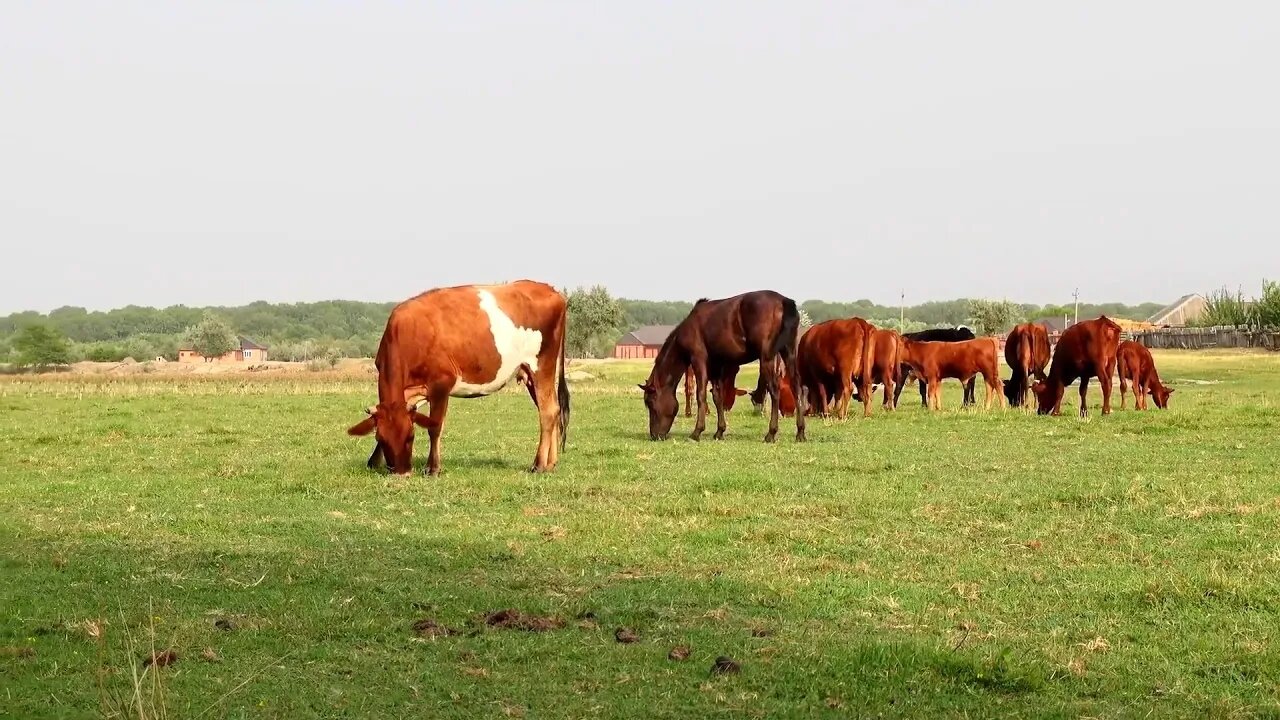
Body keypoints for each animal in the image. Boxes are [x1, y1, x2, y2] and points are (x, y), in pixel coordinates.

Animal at [350, 280, 570, 476]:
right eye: (381, 438)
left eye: (410, 437)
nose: (401, 473)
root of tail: (552, 290)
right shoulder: (412, 391)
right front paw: (373, 461)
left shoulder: (441, 383)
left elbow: (434, 426)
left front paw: (433, 468)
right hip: (530, 373)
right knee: (554, 409)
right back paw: (551, 464)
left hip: (541, 365)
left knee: (548, 412)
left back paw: (538, 465)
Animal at [637, 288, 803, 440]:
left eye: (650, 403)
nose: (654, 435)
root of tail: (784, 301)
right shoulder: (716, 365)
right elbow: (718, 397)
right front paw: (719, 431)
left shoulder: (698, 359)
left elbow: (701, 394)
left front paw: (697, 432)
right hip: (789, 352)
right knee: (796, 386)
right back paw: (800, 432)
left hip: (767, 358)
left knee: (774, 390)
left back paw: (771, 433)